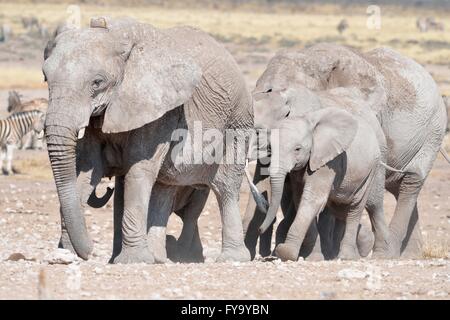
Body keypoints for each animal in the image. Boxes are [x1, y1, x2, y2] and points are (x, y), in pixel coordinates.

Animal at [43, 16, 253, 264]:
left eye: (97, 82)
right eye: (45, 78)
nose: (89, 251)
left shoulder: (161, 109)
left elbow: (139, 171)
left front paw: (133, 261)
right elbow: (86, 170)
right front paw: (69, 254)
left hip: (237, 121)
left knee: (225, 187)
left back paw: (232, 258)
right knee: (165, 186)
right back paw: (159, 259)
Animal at [244, 43, 448, 258]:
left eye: (286, 110)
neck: (312, 58)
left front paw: (324, 254)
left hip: (432, 132)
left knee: (409, 183)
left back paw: (389, 253)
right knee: (397, 188)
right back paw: (408, 254)